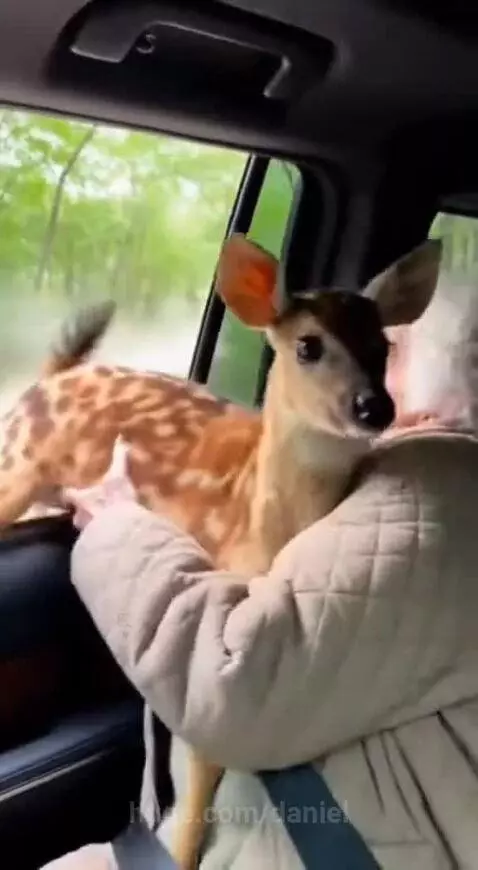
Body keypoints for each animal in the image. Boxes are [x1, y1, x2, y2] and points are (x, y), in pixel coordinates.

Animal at [0, 233, 442, 869]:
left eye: (382, 345)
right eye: (308, 345)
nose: (374, 407)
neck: (261, 517)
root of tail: (50, 377)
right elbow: (200, 779)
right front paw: (180, 850)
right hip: (15, 463)